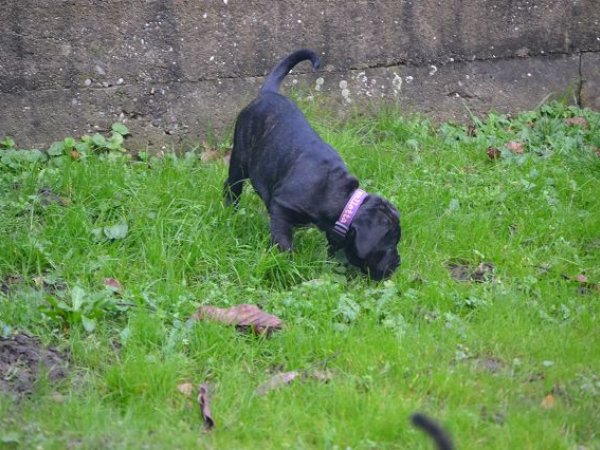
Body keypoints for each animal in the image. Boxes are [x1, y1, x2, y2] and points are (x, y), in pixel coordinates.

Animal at [225, 49, 401, 280]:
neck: (341, 199)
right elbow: (283, 241)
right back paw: (230, 211)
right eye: (390, 243)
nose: (398, 263)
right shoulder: (281, 208)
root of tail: (268, 93)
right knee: (232, 185)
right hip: (240, 157)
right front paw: (286, 264)